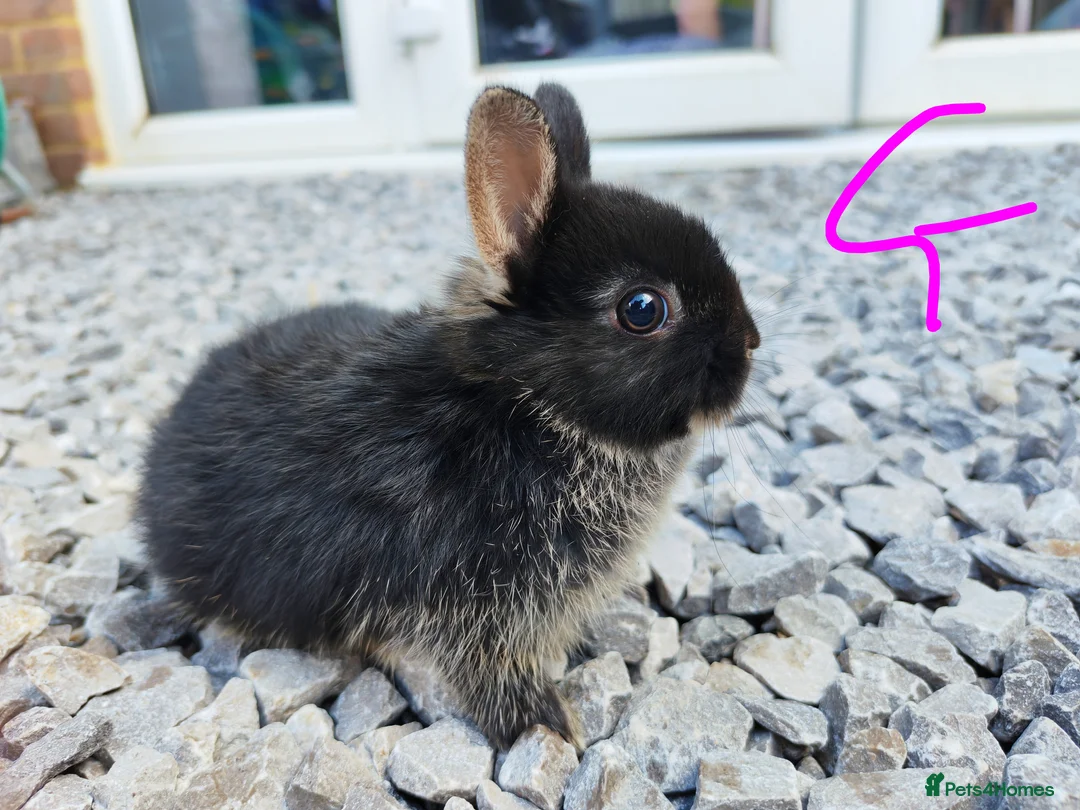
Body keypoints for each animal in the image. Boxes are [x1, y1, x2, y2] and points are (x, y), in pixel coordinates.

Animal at [136, 82, 761, 749]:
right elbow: (488, 671)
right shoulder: (473, 599)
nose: (750, 344)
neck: (529, 405)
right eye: (643, 309)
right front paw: (549, 727)